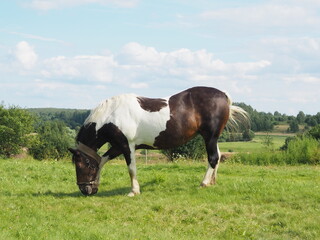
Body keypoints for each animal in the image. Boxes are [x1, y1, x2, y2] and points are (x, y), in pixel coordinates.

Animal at [67, 87, 248, 196]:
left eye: (82, 165)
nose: (85, 190)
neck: (112, 114)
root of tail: (223, 95)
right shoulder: (117, 146)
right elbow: (102, 161)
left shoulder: (127, 146)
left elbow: (131, 169)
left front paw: (134, 191)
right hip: (213, 138)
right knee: (217, 156)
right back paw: (211, 182)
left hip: (209, 137)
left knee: (213, 158)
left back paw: (203, 183)